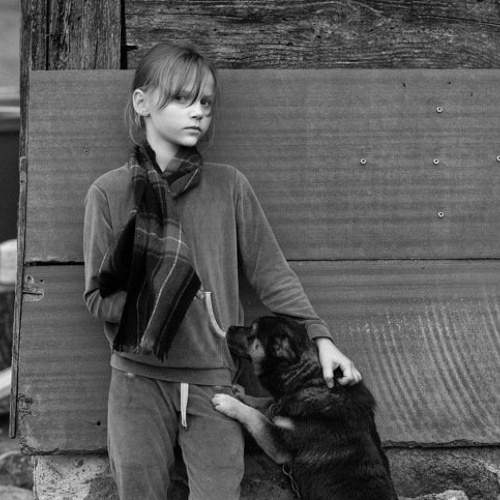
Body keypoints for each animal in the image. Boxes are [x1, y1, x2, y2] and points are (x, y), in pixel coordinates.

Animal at [212, 315, 398, 500]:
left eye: (251, 333)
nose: (229, 327)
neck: (309, 379)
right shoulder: (279, 404)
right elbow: (265, 402)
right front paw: (240, 394)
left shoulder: (279, 446)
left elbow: (256, 417)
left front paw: (229, 402)